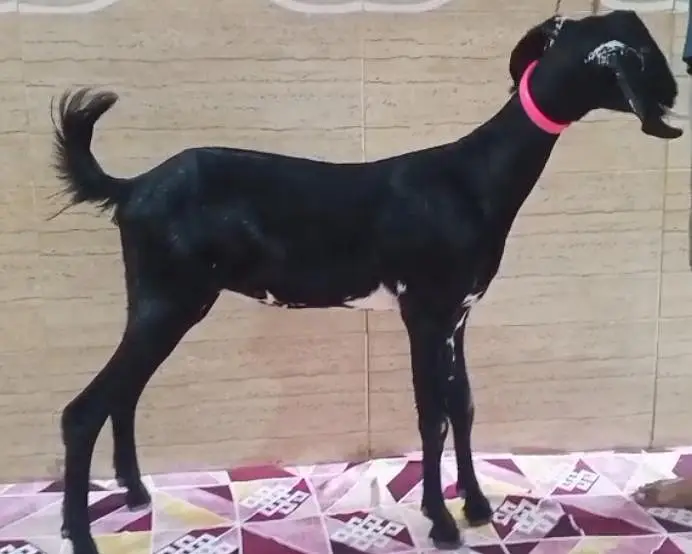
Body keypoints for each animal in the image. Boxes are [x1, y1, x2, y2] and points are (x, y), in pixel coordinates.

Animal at [52, 10, 681, 554]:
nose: (675, 92)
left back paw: (136, 495)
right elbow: (432, 414)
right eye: (644, 53)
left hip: (158, 301)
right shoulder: (423, 310)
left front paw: (476, 506)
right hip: (171, 298)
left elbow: (463, 404)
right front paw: (442, 523)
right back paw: (81, 536)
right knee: (85, 409)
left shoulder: (458, 314)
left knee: (124, 393)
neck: (471, 178)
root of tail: (133, 187)